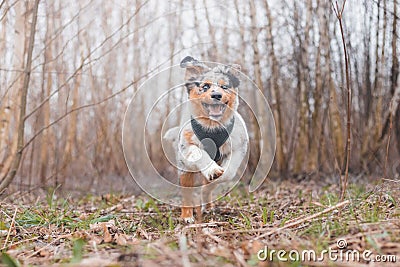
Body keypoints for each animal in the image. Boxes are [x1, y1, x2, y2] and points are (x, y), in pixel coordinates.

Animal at [164, 57, 248, 224]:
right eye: (205, 86)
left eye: (224, 86)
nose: (216, 95)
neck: (212, 127)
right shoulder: (186, 145)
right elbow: (199, 153)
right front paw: (212, 169)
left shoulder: (239, 145)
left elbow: (228, 172)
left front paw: (215, 178)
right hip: (184, 171)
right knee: (187, 194)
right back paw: (187, 216)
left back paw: (208, 205)